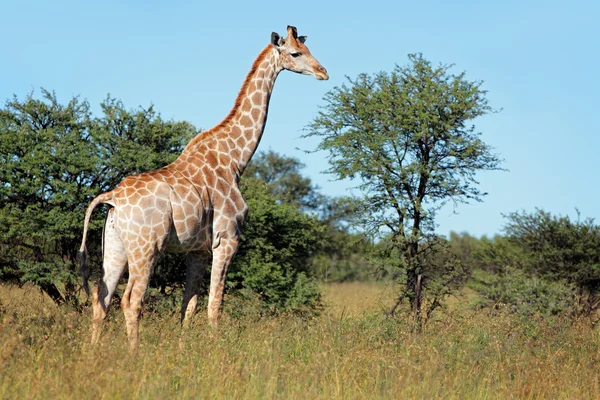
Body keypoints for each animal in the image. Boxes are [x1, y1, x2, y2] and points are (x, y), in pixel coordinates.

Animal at [77, 25, 328, 348]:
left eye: (308, 49)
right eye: (296, 53)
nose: (323, 72)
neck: (235, 159)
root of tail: (112, 198)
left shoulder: (196, 249)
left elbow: (189, 306)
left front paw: (185, 349)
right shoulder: (228, 239)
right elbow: (215, 304)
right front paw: (216, 349)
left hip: (115, 246)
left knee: (102, 299)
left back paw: (93, 353)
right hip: (147, 247)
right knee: (130, 301)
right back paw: (134, 353)